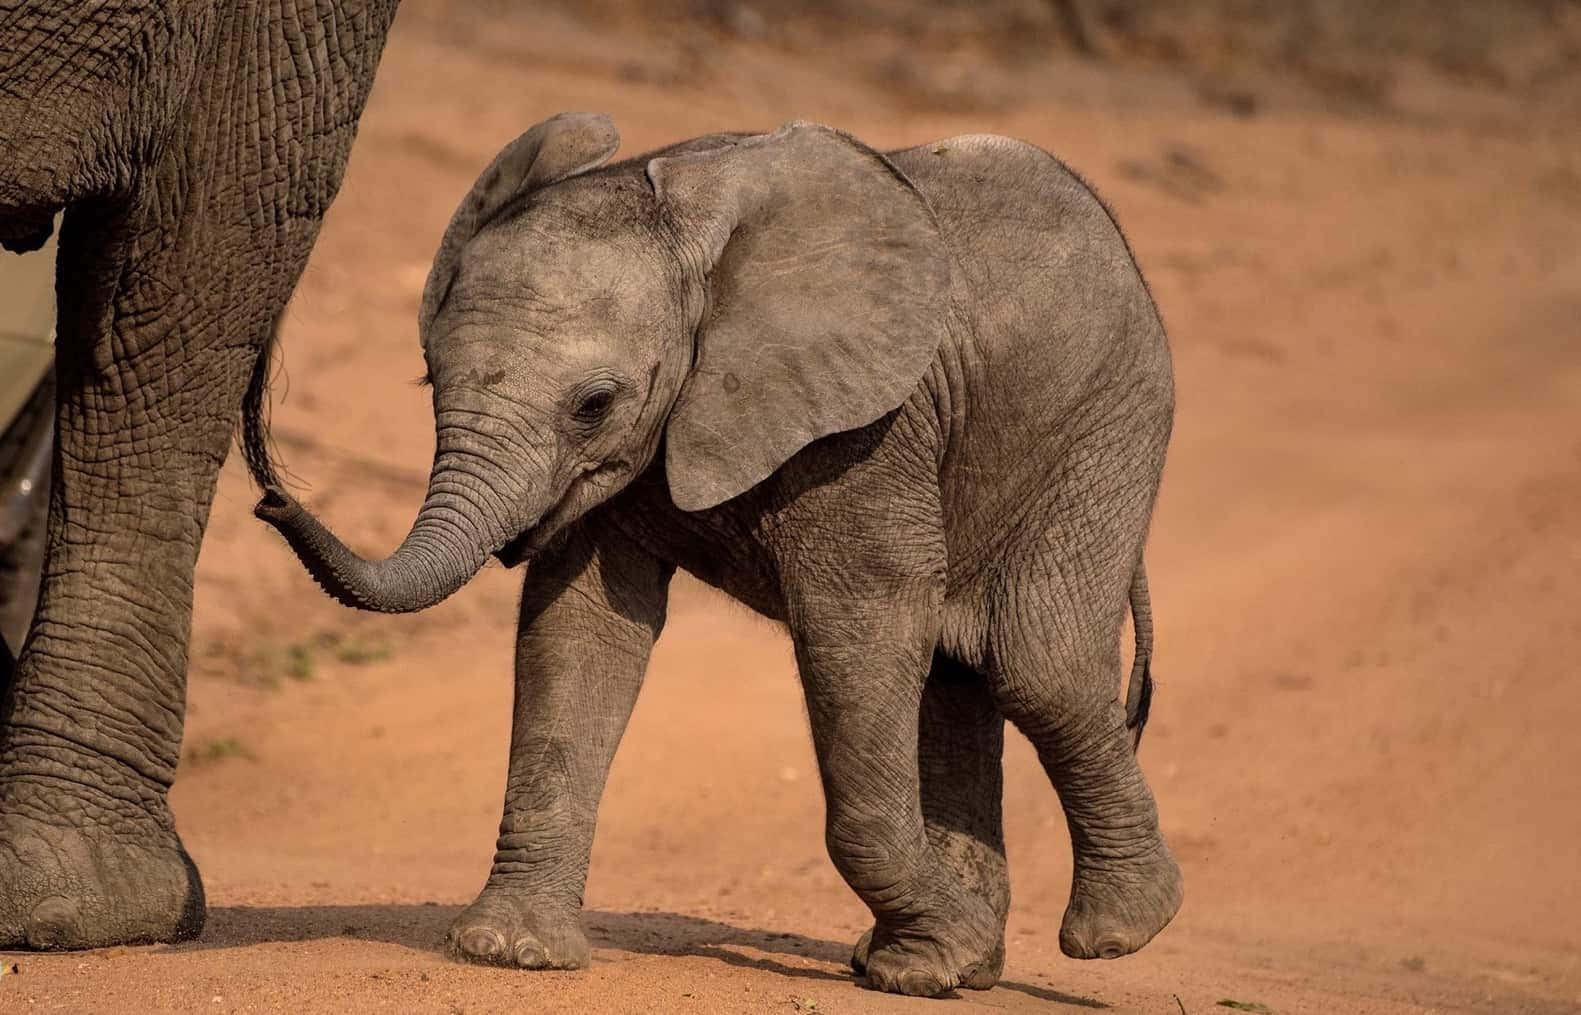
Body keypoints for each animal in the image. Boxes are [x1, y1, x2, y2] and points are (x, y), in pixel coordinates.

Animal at [256, 112, 1183, 996]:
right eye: (427, 380)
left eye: (594, 404)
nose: (270, 493)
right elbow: (582, 632)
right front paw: (511, 952)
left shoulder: (866, 431)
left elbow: (859, 624)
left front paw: (942, 950)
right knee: (964, 679)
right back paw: (945, 968)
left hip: (1104, 423)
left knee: (1036, 665)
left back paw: (1114, 929)